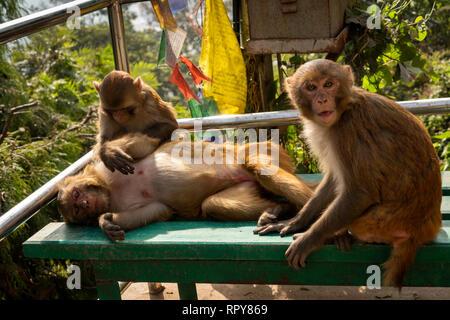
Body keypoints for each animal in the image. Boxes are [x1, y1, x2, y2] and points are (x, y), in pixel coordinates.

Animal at [56, 132, 314, 240]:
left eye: (77, 194)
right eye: (77, 209)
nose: (86, 203)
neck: (110, 188)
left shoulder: (102, 169)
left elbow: (145, 144)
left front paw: (108, 150)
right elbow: (157, 210)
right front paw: (106, 222)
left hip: (261, 151)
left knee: (258, 165)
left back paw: (298, 217)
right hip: (247, 186)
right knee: (214, 204)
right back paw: (279, 210)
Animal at [255, 58, 442, 288]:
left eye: (328, 84)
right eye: (311, 87)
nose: (322, 99)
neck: (345, 109)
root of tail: (422, 231)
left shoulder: (347, 130)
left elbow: (360, 192)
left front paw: (309, 239)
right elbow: (334, 180)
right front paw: (296, 221)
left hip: (387, 223)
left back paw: (336, 235)